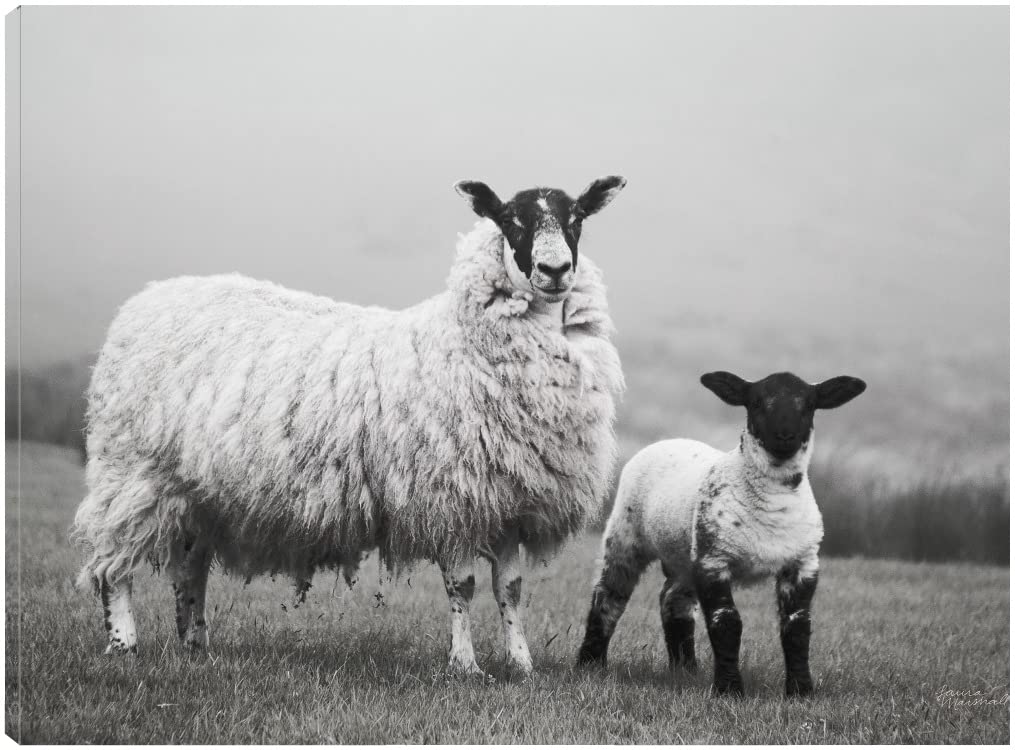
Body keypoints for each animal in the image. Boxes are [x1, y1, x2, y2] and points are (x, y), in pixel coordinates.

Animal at [71, 176, 628, 676]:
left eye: (577, 218)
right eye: (511, 220)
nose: (555, 270)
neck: (461, 339)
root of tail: (146, 299)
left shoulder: (510, 502)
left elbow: (509, 589)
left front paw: (521, 665)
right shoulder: (450, 497)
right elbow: (463, 587)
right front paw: (465, 666)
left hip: (198, 490)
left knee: (189, 567)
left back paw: (195, 644)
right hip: (132, 471)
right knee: (112, 563)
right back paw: (124, 644)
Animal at [576, 370, 866, 696]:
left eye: (808, 405)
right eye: (756, 403)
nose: (784, 436)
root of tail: (670, 439)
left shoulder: (803, 563)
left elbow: (797, 626)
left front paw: (801, 692)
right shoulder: (714, 560)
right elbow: (726, 623)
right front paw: (729, 689)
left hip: (685, 555)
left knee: (673, 599)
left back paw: (685, 669)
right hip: (626, 536)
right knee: (609, 597)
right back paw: (590, 664)